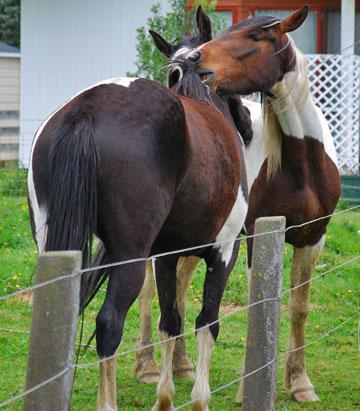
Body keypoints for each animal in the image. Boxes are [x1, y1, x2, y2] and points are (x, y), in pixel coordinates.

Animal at [27, 39, 248, 411]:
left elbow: (170, 322)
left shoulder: (167, 256)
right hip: (129, 257)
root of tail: (86, 110)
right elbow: (206, 323)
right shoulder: (223, 252)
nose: (247, 121)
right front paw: (198, 399)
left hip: (53, 250)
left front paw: (165, 397)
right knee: (109, 323)